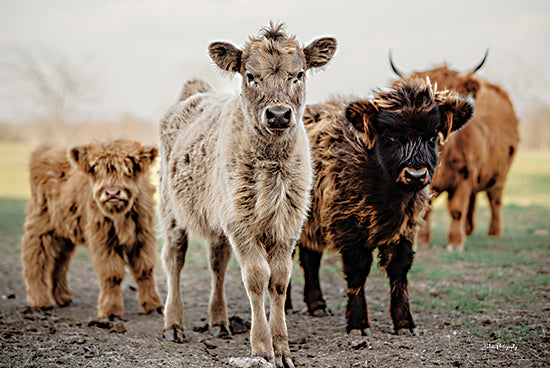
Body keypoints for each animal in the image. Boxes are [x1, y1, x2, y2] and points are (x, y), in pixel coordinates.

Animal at [22, 139, 164, 320]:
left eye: (128, 170)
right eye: (96, 170)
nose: (112, 193)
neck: (119, 215)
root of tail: (46, 147)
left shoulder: (143, 236)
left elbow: (145, 269)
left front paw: (154, 306)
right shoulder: (103, 238)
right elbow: (111, 274)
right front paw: (110, 311)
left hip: (64, 231)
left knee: (60, 261)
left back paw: (63, 297)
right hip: (41, 225)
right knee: (36, 258)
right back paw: (40, 301)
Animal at [161, 24, 336, 366]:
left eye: (299, 74)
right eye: (251, 75)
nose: (279, 115)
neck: (272, 170)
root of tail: (196, 94)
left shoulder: (288, 224)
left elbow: (279, 280)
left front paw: (282, 348)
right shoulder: (241, 225)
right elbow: (256, 278)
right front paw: (262, 347)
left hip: (219, 219)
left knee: (217, 264)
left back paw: (219, 321)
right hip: (172, 210)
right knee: (174, 260)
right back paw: (174, 323)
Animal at [288, 78, 474, 336]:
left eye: (431, 136)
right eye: (390, 136)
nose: (415, 175)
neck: (388, 198)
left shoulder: (406, 228)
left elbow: (399, 269)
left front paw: (404, 323)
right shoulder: (348, 226)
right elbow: (358, 271)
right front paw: (358, 323)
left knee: (310, 258)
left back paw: (317, 305)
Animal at [392, 51, 520, 252]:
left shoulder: (464, 177)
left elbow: (457, 210)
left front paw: (455, 242)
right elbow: (426, 211)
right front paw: (422, 241)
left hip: (501, 172)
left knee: (495, 199)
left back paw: (493, 232)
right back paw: (469, 230)